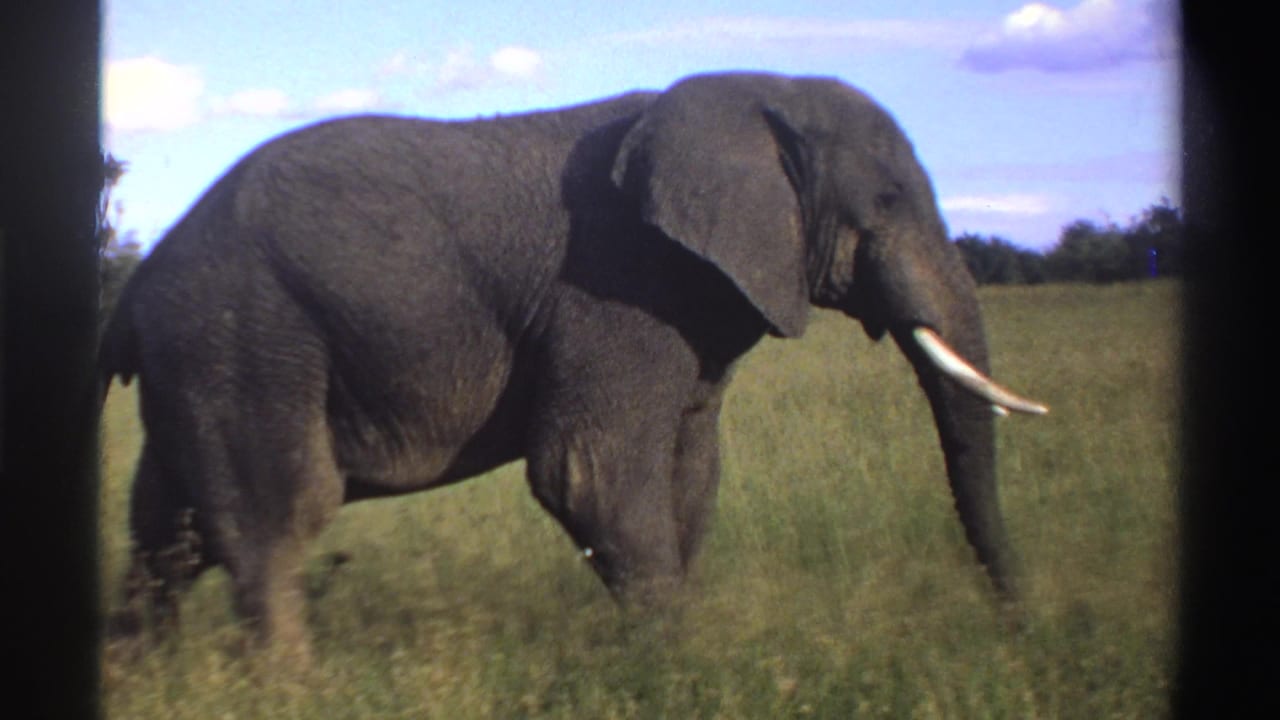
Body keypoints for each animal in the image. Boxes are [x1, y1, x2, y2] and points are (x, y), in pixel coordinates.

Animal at [99, 71, 1046, 659]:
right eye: (887, 200)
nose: (1018, 629)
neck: (754, 93)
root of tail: (138, 285)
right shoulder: (614, 285)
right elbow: (590, 473)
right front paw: (678, 669)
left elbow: (690, 476)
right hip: (246, 337)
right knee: (273, 519)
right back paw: (291, 688)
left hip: (202, 359)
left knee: (168, 533)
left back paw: (148, 677)